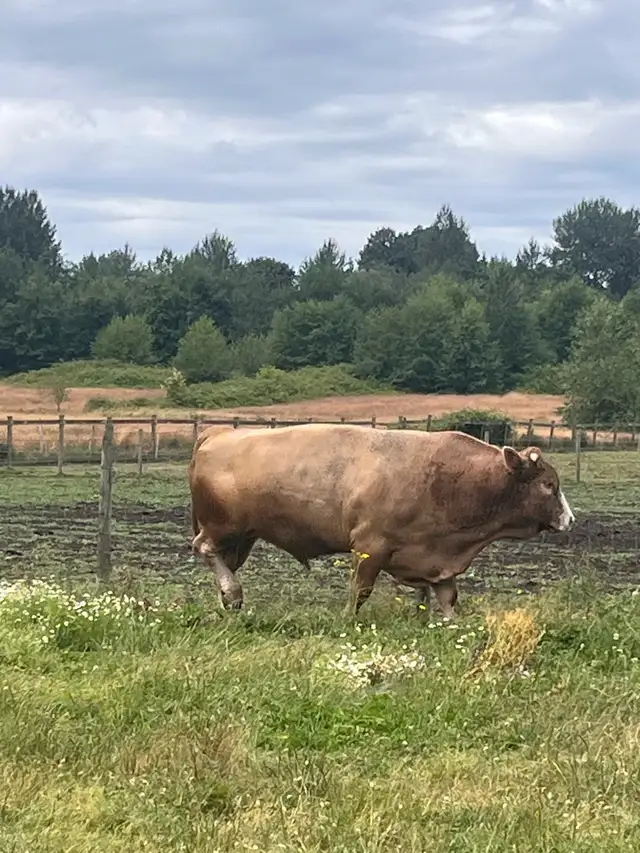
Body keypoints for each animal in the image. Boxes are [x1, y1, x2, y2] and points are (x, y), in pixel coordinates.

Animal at [188, 423, 575, 619]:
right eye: (548, 485)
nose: (570, 519)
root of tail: (217, 434)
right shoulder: (370, 548)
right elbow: (360, 591)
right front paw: (348, 620)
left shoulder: (438, 558)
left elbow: (448, 599)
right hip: (222, 527)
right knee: (204, 549)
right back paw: (232, 593)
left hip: (242, 536)